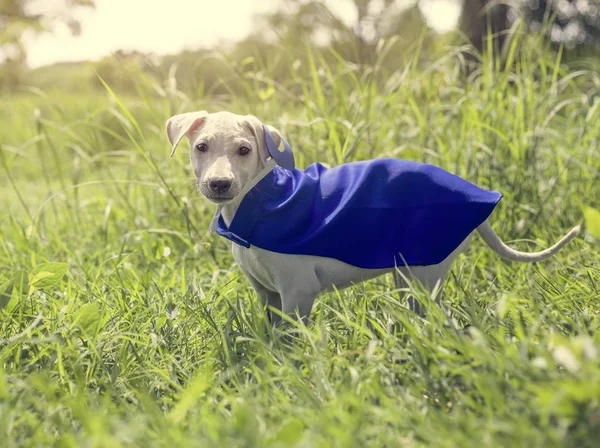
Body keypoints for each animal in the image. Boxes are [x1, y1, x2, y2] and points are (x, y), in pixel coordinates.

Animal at [166, 110, 580, 324]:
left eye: (244, 150)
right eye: (201, 147)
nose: (219, 184)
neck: (259, 201)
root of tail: (478, 201)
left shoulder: (298, 290)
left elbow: (293, 337)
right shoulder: (265, 292)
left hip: (422, 274)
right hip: (406, 274)